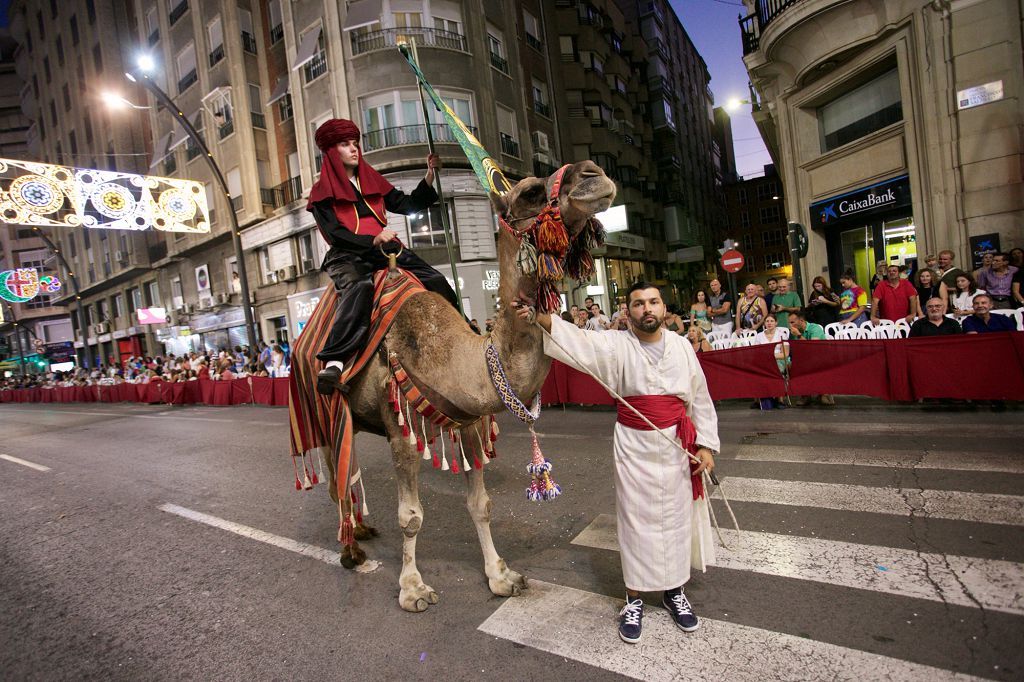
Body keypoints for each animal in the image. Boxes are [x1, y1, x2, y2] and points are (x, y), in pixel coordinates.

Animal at [296, 160, 614, 610]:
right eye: (531, 192)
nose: (593, 174)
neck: (452, 355)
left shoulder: (469, 422)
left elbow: (481, 504)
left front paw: (501, 576)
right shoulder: (400, 429)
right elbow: (411, 517)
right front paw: (413, 589)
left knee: (348, 470)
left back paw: (360, 529)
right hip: (321, 410)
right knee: (334, 480)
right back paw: (351, 551)